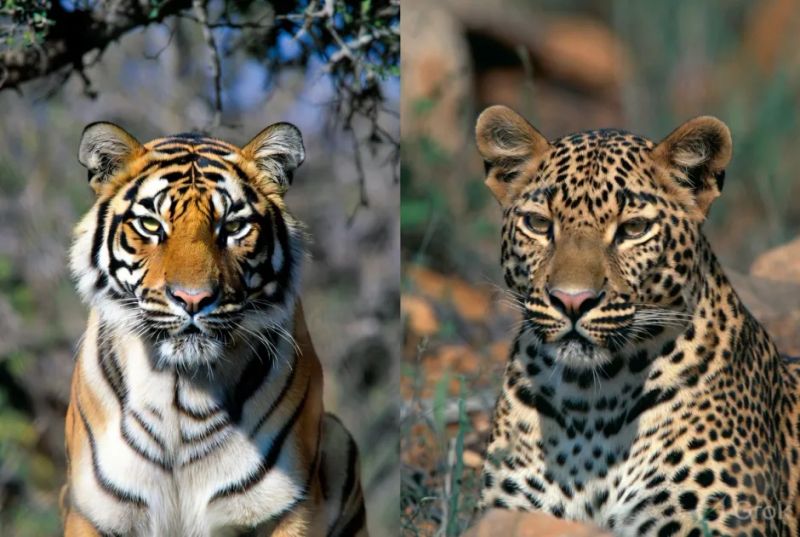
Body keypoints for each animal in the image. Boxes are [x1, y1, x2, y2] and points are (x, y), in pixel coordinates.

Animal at [62, 121, 368, 537]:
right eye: (150, 225)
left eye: (234, 227)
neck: (178, 391)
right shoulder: (95, 512)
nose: (193, 299)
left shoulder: (286, 509)